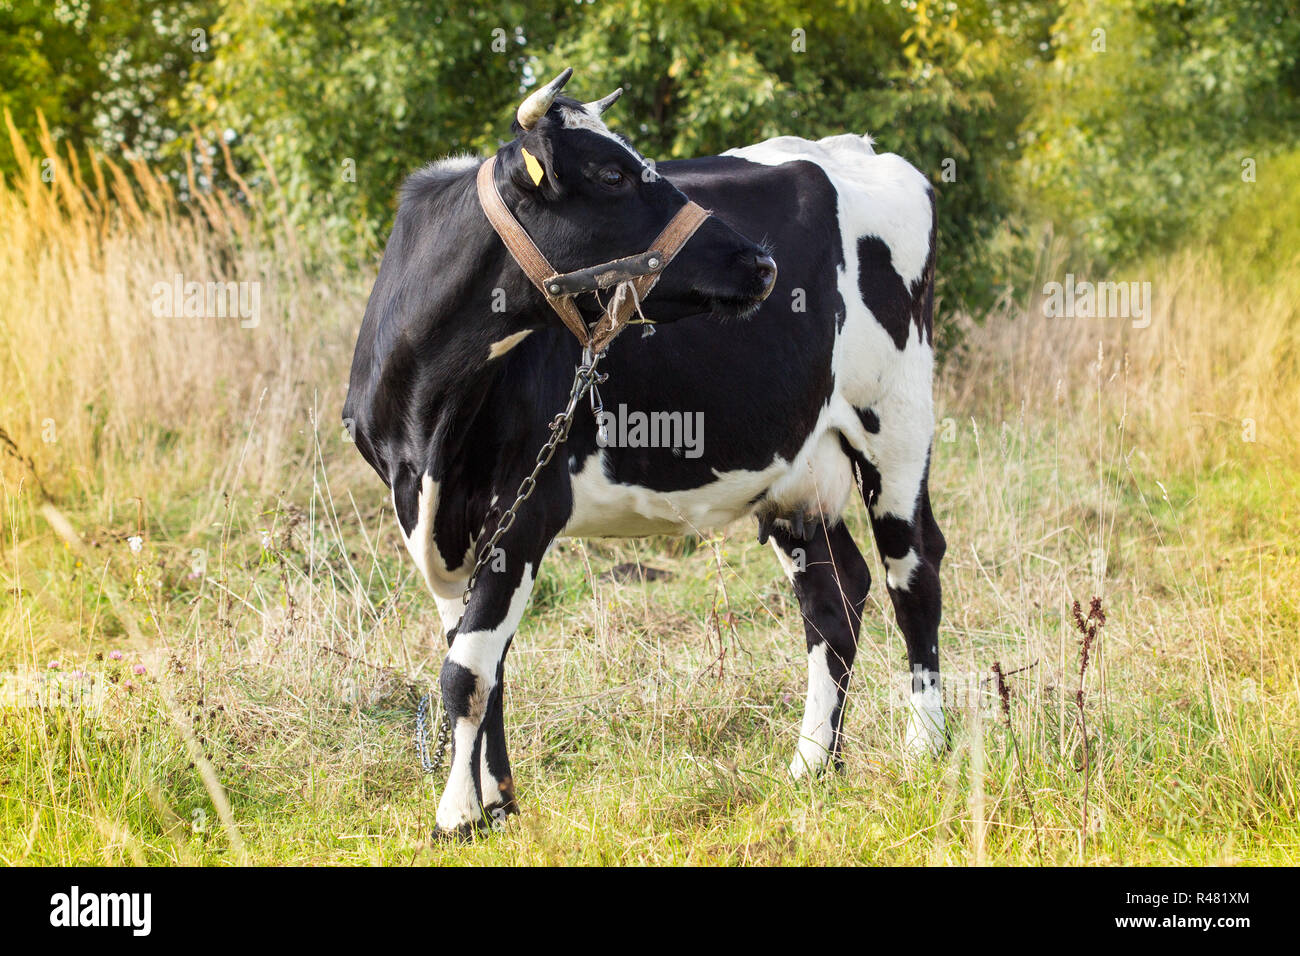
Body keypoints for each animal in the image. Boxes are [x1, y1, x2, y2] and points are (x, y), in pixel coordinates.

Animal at [343, 72, 946, 837]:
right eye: (611, 174)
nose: (762, 262)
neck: (429, 421)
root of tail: (857, 148)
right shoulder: (425, 511)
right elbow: (481, 663)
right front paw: (495, 804)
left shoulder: (527, 507)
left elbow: (466, 672)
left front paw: (455, 815)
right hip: (797, 469)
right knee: (835, 598)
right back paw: (812, 765)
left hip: (896, 426)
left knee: (913, 575)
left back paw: (926, 745)